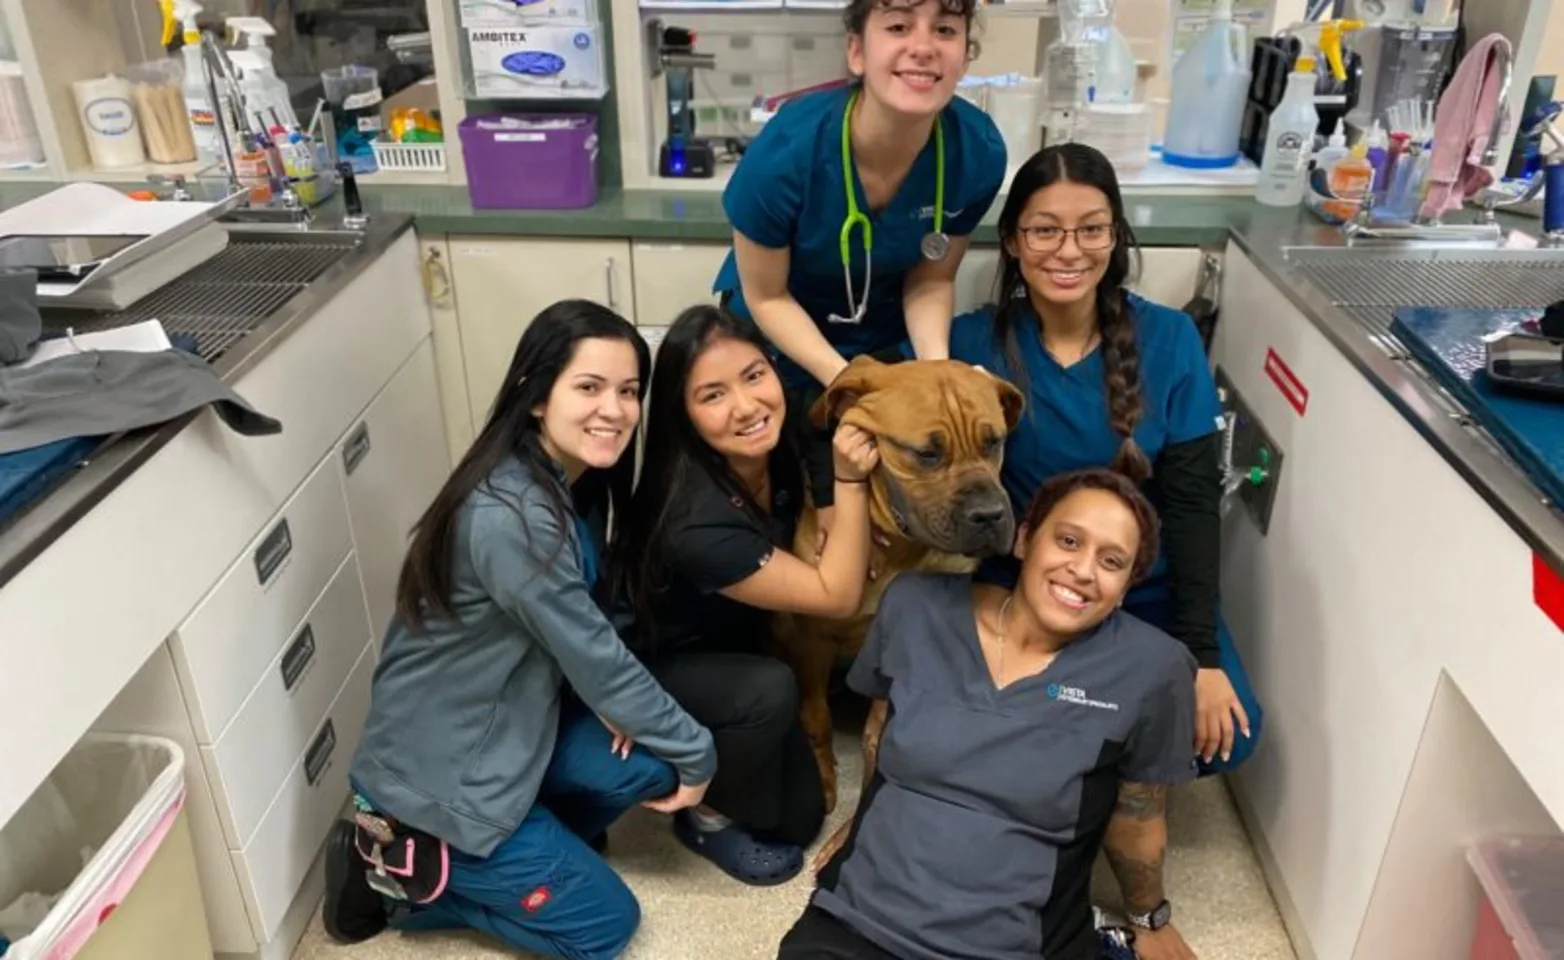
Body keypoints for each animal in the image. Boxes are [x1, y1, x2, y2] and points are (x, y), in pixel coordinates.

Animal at [772, 354, 1025, 813]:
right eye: (926, 453)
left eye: (993, 442)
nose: (989, 515)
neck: (899, 551)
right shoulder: (812, 639)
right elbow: (815, 714)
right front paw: (824, 776)